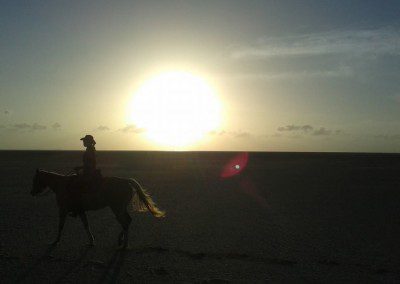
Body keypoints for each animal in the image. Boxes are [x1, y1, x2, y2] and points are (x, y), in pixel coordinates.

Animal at [29, 169, 164, 248]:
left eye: (35, 179)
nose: (32, 192)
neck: (61, 185)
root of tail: (126, 181)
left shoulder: (62, 209)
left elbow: (60, 226)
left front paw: (55, 241)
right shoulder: (80, 210)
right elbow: (86, 225)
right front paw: (91, 241)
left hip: (117, 208)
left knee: (125, 222)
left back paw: (124, 243)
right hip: (120, 208)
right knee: (127, 221)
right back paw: (121, 240)